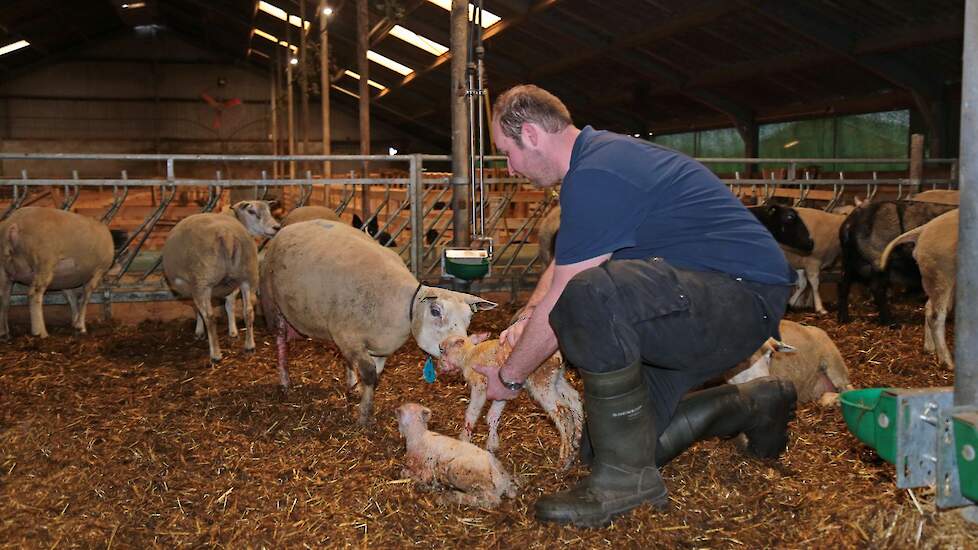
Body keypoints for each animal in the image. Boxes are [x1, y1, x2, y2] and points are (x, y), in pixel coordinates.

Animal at [434, 332, 580, 470]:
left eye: (441, 349)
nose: (438, 367)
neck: (468, 356)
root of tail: (558, 355)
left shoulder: (479, 386)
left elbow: (472, 413)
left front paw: (464, 438)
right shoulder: (501, 390)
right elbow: (492, 416)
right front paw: (492, 444)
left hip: (541, 381)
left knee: (561, 412)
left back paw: (565, 458)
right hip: (556, 379)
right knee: (574, 399)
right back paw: (577, 438)